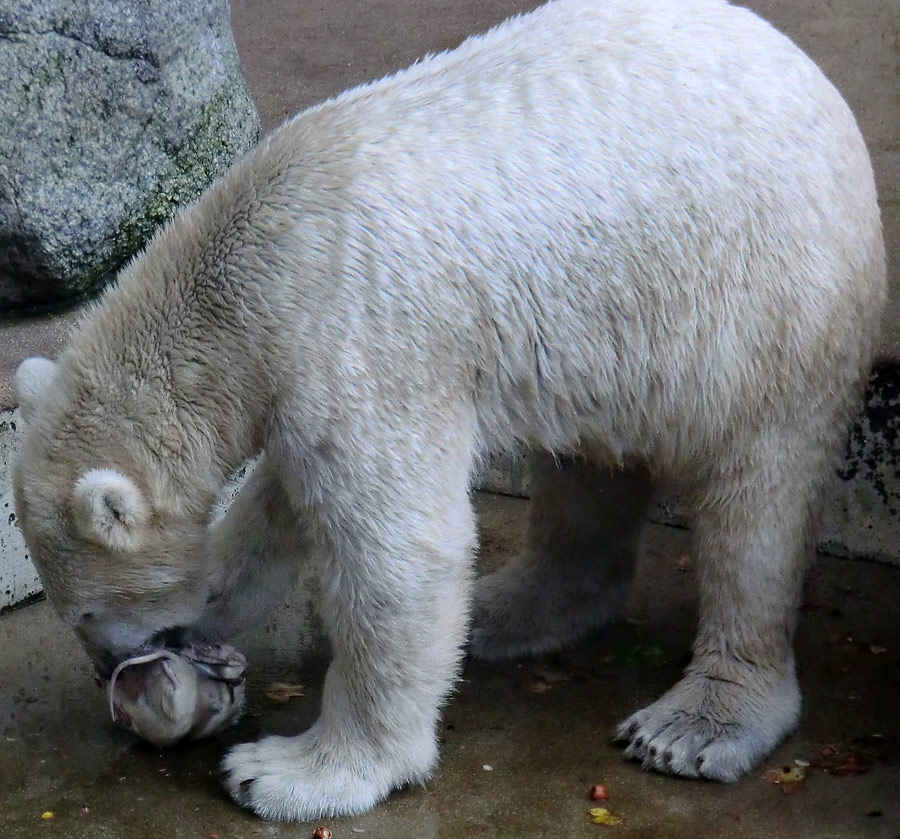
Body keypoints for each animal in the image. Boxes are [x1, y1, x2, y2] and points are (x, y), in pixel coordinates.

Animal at [14, 0, 884, 824]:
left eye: (85, 611)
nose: (109, 668)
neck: (249, 266)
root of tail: (814, 80)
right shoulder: (302, 375)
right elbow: (279, 509)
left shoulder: (356, 338)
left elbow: (398, 549)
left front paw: (288, 772)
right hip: (606, 323)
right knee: (586, 462)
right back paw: (505, 611)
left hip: (765, 300)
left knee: (757, 501)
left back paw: (693, 722)